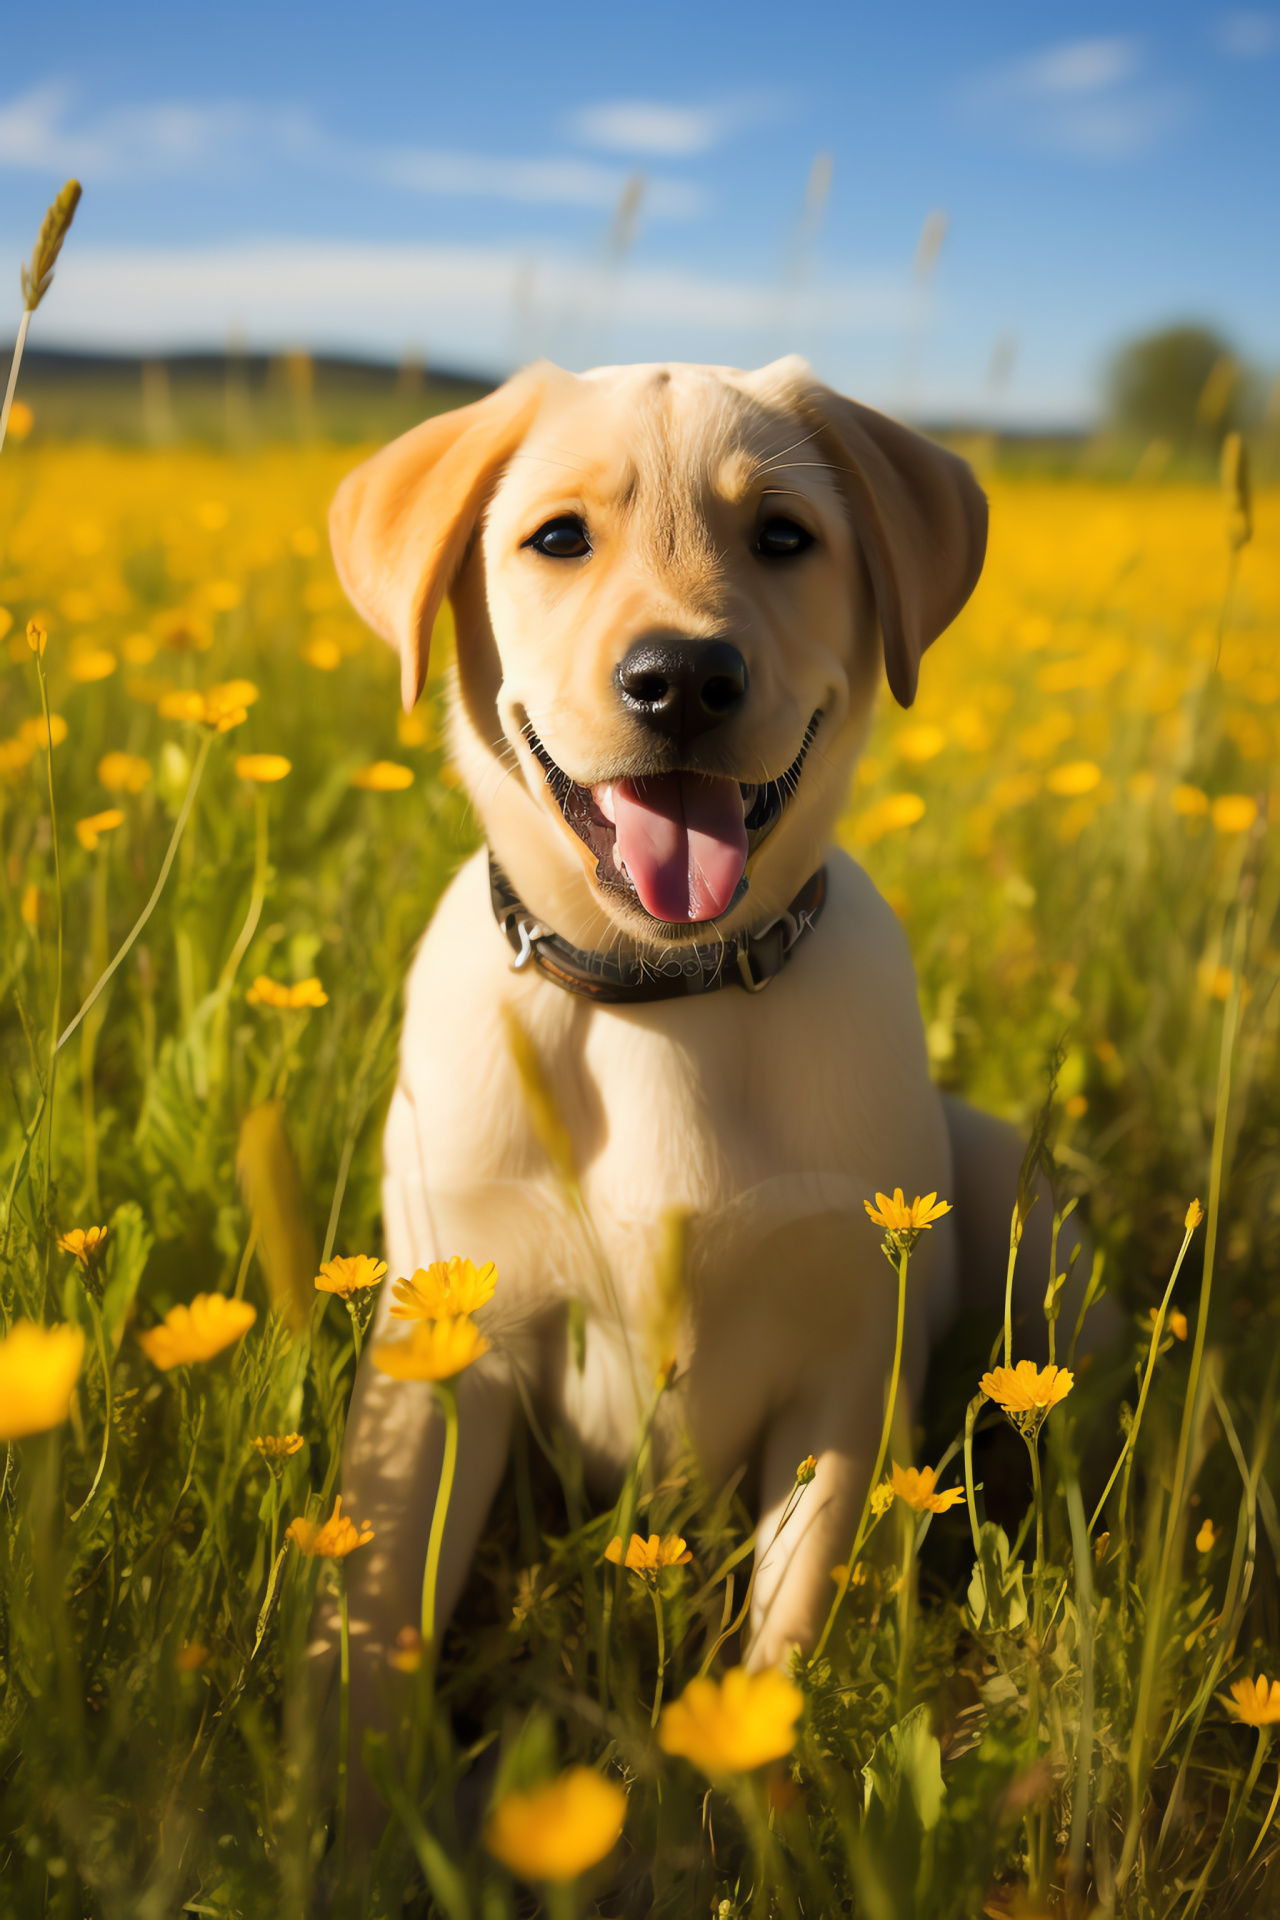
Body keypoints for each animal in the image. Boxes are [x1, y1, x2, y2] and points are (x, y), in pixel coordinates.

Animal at [326, 357, 1090, 1797]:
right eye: (558, 538)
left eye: (782, 537)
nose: (681, 678)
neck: (661, 1000)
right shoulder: (447, 1334)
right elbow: (370, 1611)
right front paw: (346, 1812)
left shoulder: (844, 1367)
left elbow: (783, 1643)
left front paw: (747, 1806)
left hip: (1029, 1215)